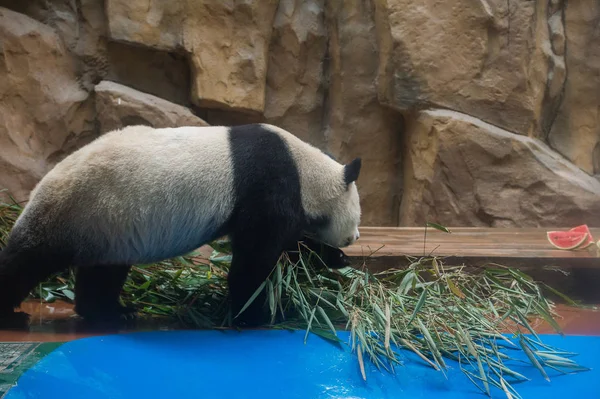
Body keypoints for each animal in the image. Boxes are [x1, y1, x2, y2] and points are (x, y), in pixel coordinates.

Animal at [0, 124, 360, 328]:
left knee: (103, 272)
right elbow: (257, 257)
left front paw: (333, 259)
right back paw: (13, 314)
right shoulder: (268, 185)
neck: (306, 169)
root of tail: (45, 182)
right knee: (27, 260)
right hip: (79, 210)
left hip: (109, 226)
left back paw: (112, 312)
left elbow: (293, 246)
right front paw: (259, 313)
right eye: (358, 214)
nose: (354, 238)